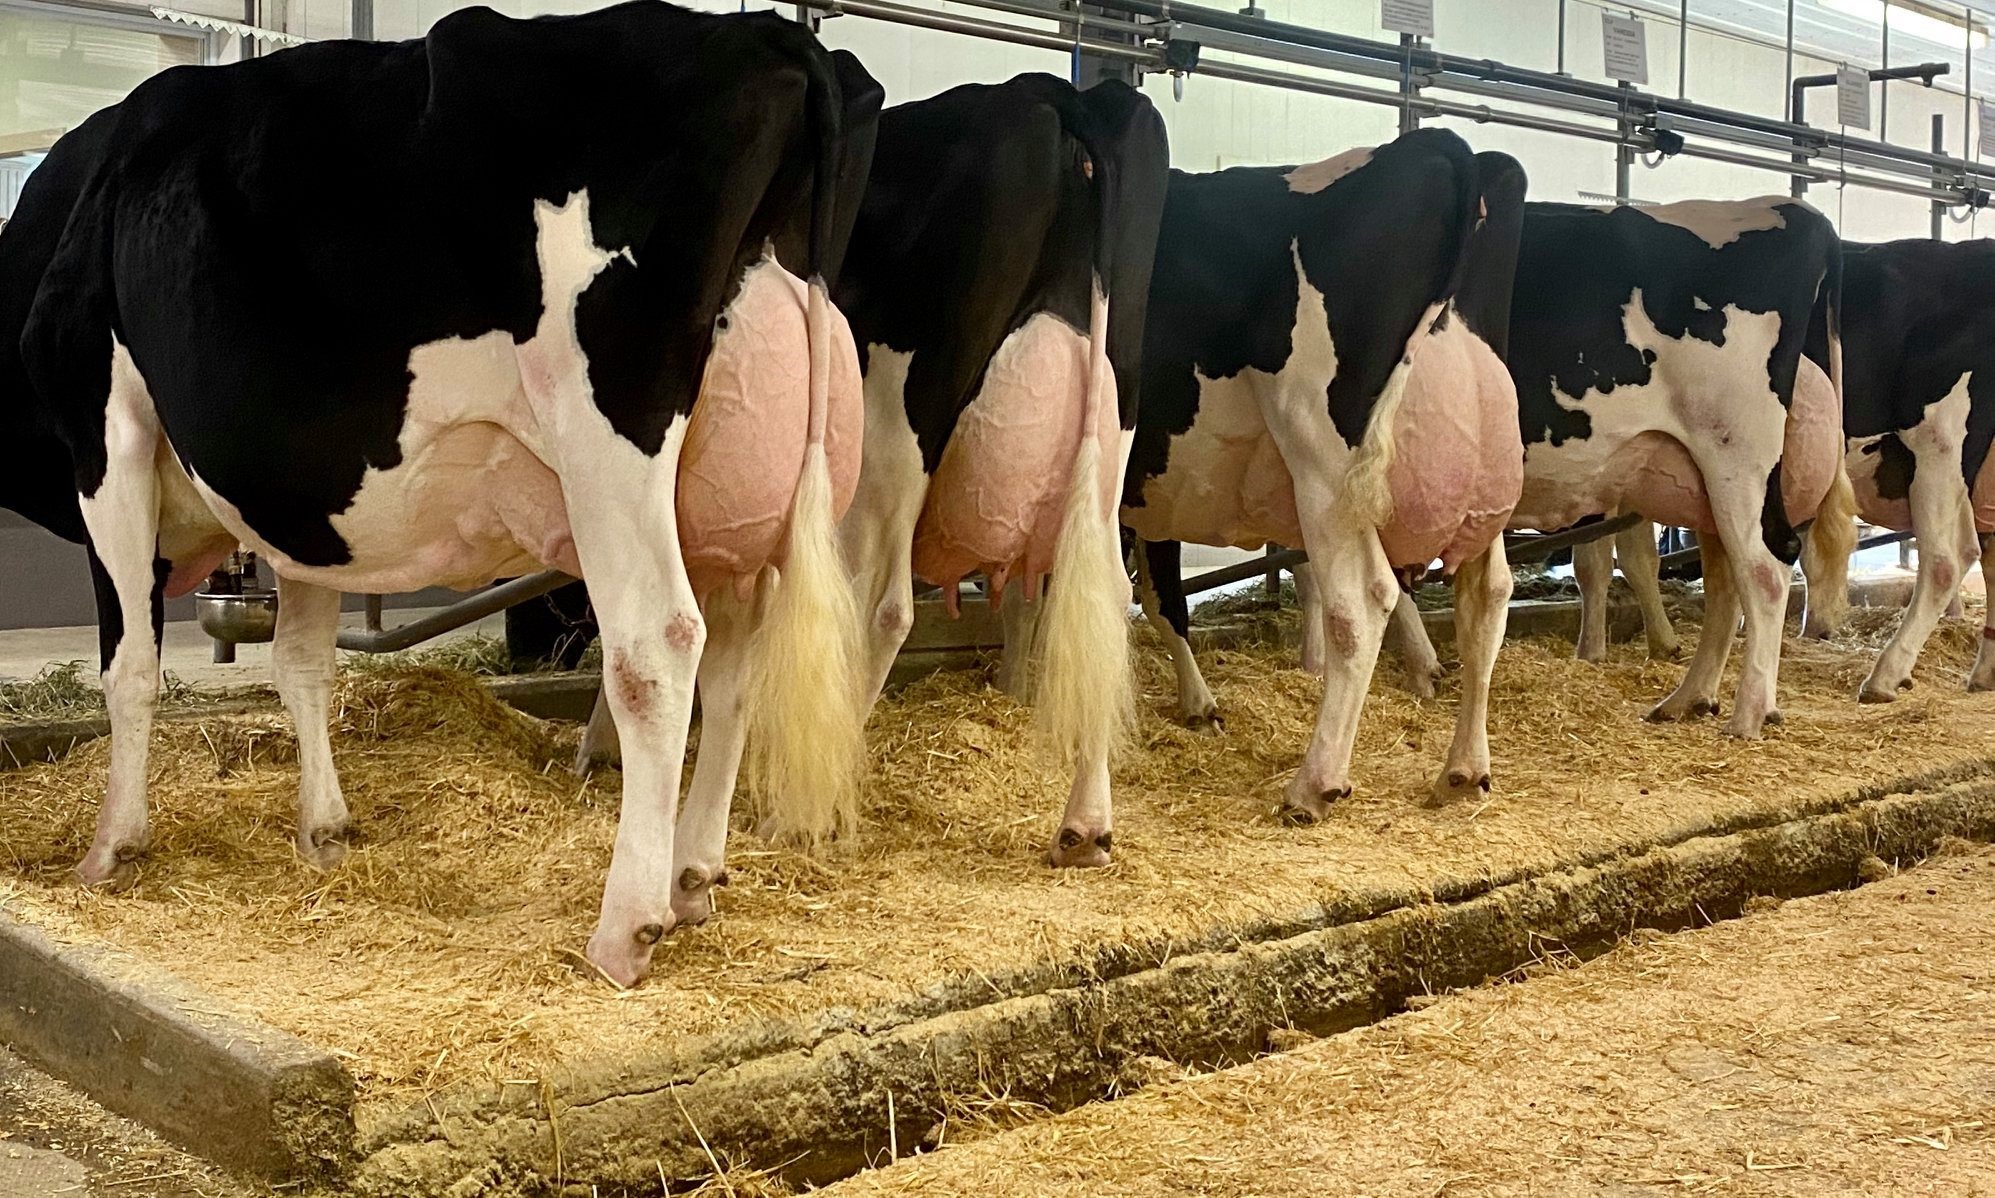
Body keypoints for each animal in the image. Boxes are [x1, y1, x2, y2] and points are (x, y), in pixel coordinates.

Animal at [5, 2, 884, 988]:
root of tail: (772, 33)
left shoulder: (105, 426)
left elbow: (130, 666)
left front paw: (112, 848)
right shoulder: (308, 504)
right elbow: (302, 663)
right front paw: (324, 831)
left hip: (609, 437)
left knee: (657, 647)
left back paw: (626, 926)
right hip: (732, 504)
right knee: (734, 662)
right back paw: (692, 878)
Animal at [1118, 133, 1528, 823]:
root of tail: (1438, 145)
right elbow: (1156, 595)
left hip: (1323, 456)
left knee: (1362, 601)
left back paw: (1314, 783)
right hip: (1477, 485)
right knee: (1487, 596)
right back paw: (1463, 771)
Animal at [1385, 197, 1850, 737]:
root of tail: (1792, 208)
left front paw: (1423, 667)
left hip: (1738, 458)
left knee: (1765, 569)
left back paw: (1747, 714)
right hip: (1708, 484)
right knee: (1725, 582)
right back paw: (1688, 699)